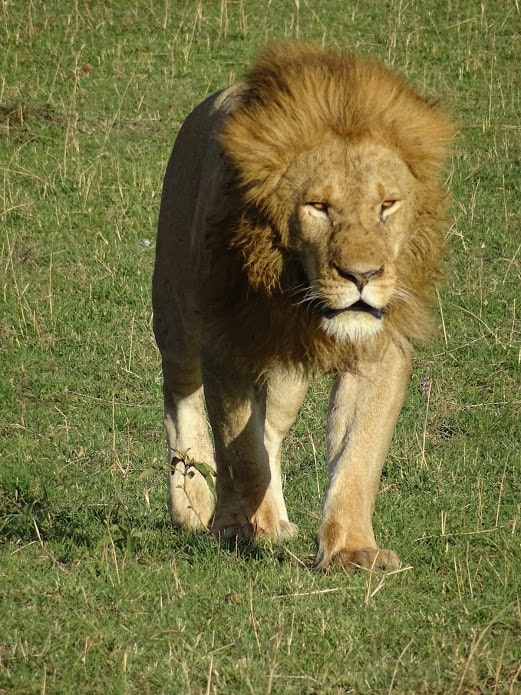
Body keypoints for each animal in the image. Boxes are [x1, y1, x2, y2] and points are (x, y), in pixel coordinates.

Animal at [152, 42, 454, 570]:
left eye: (387, 205)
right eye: (318, 207)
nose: (362, 276)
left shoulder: (378, 350)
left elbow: (358, 455)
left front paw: (351, 549)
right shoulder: (227, 339)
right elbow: (239, 448)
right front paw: (238, 528)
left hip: (287, 378)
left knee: (270, 430)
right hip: (175, 314)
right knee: (182, 400)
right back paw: (195, 506)